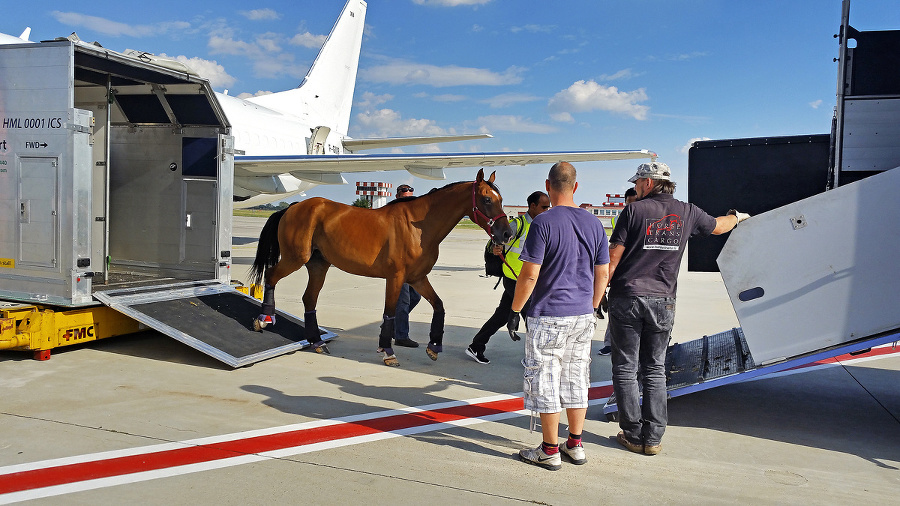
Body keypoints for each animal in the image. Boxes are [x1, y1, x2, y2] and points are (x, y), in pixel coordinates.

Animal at [250, 168, 510, 366]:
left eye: (501, 199)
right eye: (487, 199)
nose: (507, 234)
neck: (418, 227)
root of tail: (294, 206)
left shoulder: (417, 278)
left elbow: (439, 306)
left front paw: (434, 346)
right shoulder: (396, 277)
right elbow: (390, 313)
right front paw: (388, 351)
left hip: (318, 265)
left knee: (309, 299)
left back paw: (317, 342)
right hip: (295, 258)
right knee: (271, 277)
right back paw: (263, 319)